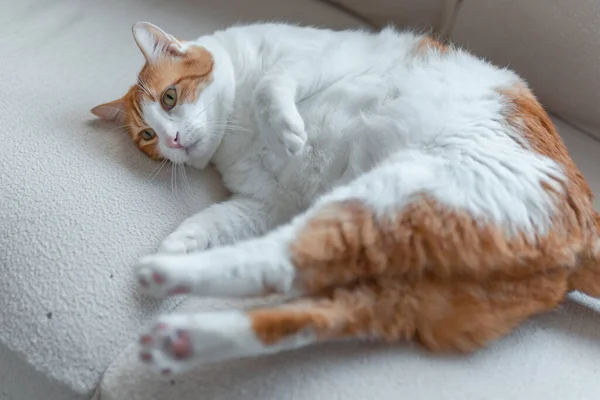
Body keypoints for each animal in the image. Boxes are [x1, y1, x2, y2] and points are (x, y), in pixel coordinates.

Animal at [90, 21, 600, 376]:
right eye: (147, 136)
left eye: (170, 98)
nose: (172, 141)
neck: (234, 130)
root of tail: (582, 236)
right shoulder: (266, 203)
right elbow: (210, 221)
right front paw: (176, 243)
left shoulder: (310, 59)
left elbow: (270, 85)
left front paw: (287, 132)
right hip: (393, 281)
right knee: (298, 296)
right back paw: (181, 327)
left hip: (394, 193)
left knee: (285, 262)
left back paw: (163, 281)